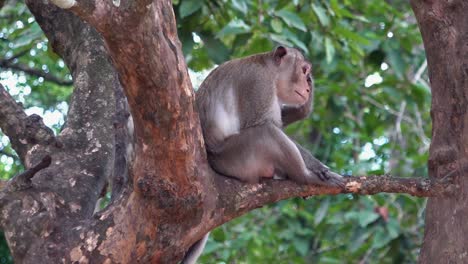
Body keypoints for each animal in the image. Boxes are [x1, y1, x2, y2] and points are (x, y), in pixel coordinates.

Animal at [197, 45, 344, 187]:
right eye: (303, 70)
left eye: (306, 73)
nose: (307, 88)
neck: (271, 70)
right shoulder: (257, 81)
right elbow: (266, 123)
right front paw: (315, 164)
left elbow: (280, 122)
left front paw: (305, 107)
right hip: (234, 160)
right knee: (266, 132)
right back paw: (305, 176)